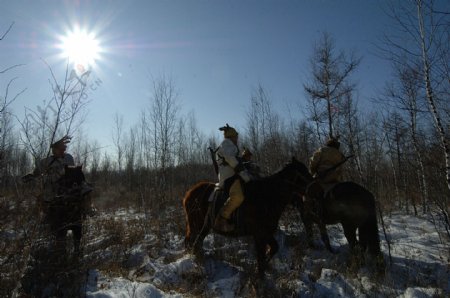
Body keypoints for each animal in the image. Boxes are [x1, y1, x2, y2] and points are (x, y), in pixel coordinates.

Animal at [181, 158, 312, 278]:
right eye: (303, 172)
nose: (313, 185)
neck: (267, 195)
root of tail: (189, 193)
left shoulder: (266, 234)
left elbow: (273, 249)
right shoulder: (260, 234)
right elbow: (261, 257)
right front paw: (259, 277)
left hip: (204, 226)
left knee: (196, 242)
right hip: (196, 225)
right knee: (194, 242)